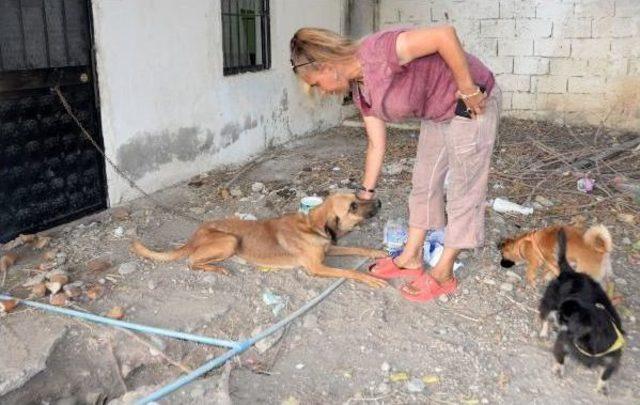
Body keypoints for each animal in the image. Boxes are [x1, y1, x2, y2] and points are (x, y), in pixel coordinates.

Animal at [132, 193, 388, 288]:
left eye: (358, 195)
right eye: (353, 206)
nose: (379, 202)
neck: (312, 225)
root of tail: (195, 234)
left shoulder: (329, 250)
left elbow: (357, 248)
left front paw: (376, 253)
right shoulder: (316, 267)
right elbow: (349, 271)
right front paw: (369, 278)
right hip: (229, 241)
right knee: (192, 261)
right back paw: (218, 269)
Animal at [536, 229, 624, 392]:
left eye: (565, 318)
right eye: (561, 315)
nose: (556, 315)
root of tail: (570, 272)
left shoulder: (612, 358)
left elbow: (606, 374)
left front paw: (602, 386)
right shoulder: (562, 342)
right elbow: (560, 358)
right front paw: (559, 369)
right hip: (549, 303)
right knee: (544, 316)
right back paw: (545, 331)